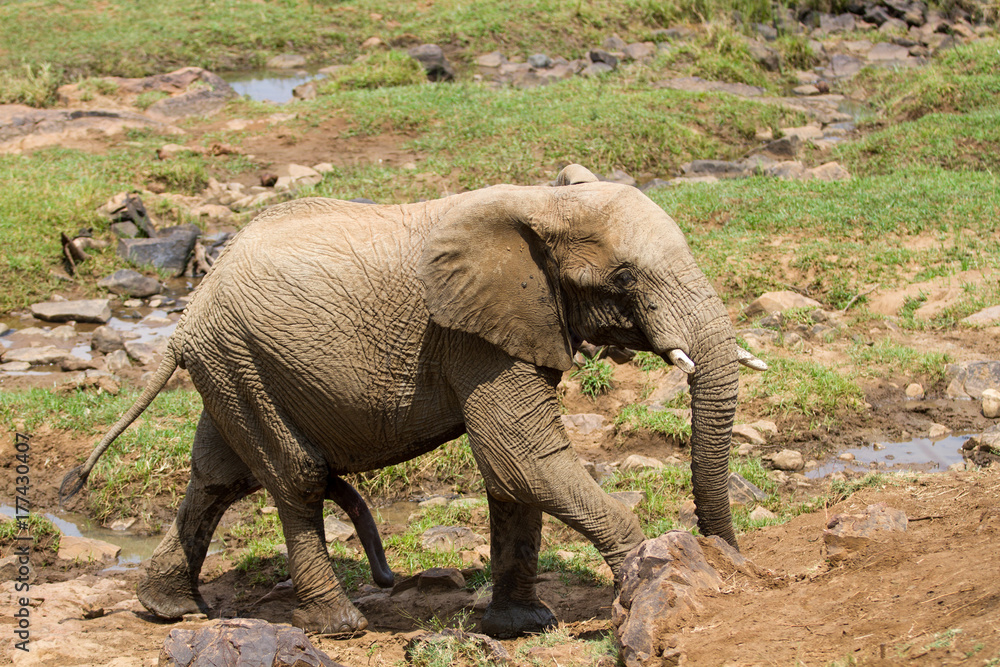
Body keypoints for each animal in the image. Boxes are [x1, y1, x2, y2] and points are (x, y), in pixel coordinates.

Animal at [62, 164, 766, 638]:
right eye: (623, 279)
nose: (728, 562)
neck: (543, 201)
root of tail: (187, 313)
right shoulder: (469, 335)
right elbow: (525, 460)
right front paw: (640, 588)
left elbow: (511, 475)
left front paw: (523, 624)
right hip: (242, 359)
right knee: (296, 478)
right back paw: (340, 623)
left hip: (235, 366)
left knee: (218, 476)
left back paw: (169, 610)